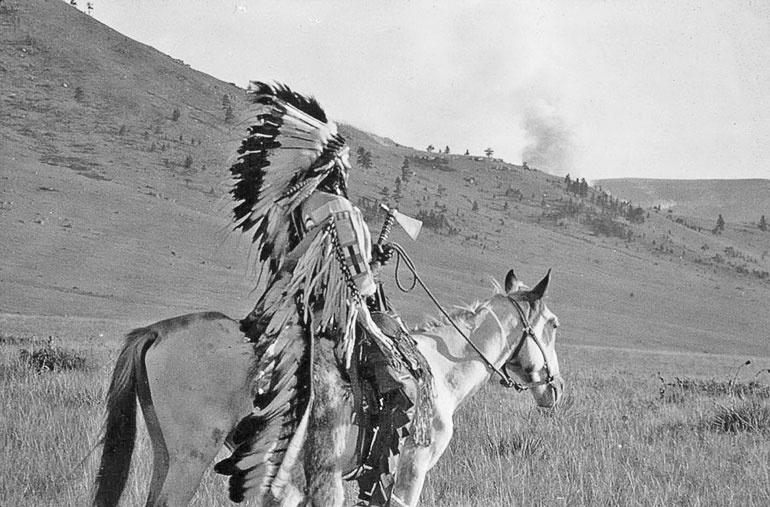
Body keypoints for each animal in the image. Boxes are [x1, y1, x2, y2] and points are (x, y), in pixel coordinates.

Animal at [91, 268, 564, 506]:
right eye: (554, 324)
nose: (554, 388)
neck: (441, 367)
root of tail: (157, 331)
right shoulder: (411, 467)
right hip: (192, 457)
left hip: (165, 453)